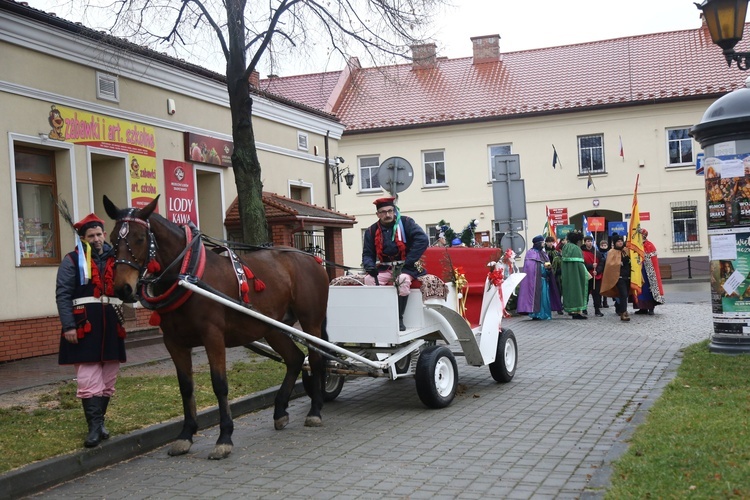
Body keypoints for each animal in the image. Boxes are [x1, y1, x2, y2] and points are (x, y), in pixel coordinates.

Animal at [103, 193, 328, 458]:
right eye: (112, 239)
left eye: (139, 238)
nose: (122, 288)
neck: (188, 273)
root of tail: (312, 257)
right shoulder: (173, 342)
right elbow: (186, 387)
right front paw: (186, 434)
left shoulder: (213, 337)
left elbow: (220, 385)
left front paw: (224, 437)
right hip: (272, 327)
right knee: (295, 359)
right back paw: (280, 410)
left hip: (311, 322)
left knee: (316, 359)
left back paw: (315, 410)